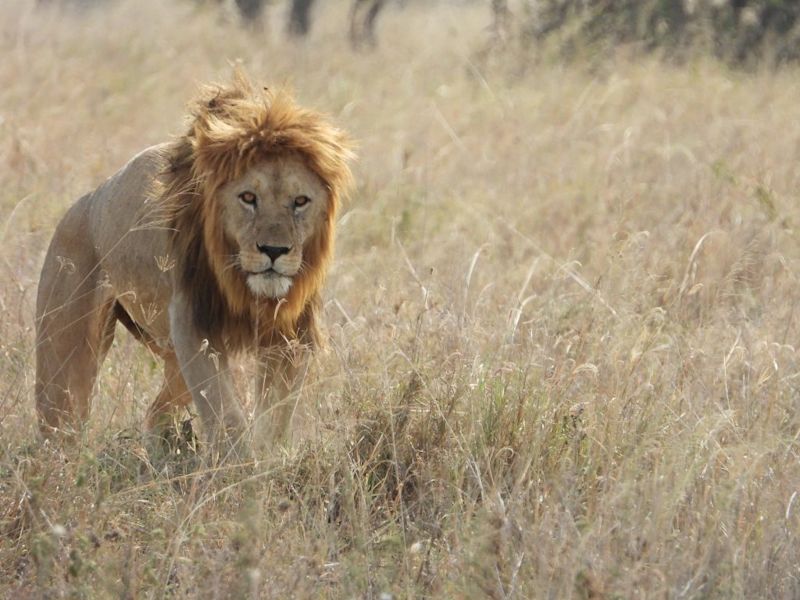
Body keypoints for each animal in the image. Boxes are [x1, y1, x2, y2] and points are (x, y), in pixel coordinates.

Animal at [34, 69, 354, 460]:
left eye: (300, 201)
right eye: (249, 197)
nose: (274, 250)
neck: (244, 287)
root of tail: (85, 201)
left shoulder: (291, 335)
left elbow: (277, 414)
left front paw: (268, 459)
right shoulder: (193, 323)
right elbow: (223, 411)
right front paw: (239, 466)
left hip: (172, 360)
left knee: (155, 411)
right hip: (67, 350)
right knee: (62, 418)